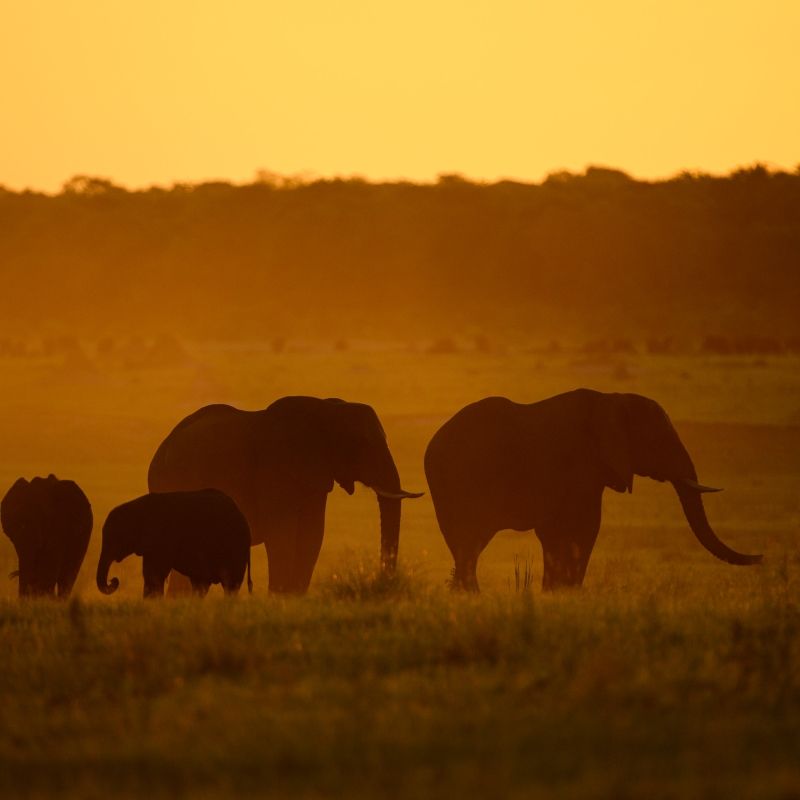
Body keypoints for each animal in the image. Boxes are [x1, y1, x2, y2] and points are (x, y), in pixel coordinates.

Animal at [96, 489, 253, 598]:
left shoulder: (162, 537)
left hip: (235, 548)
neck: (137, 507)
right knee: (201, 585)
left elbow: (155, 573)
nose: (114, 580)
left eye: (115, 537)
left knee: (230, 586)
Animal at [148, 396, 422, 594]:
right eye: (362, 444)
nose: (385, 584)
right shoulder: (275, 471)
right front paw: (278, 598)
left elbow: (312, 534)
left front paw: (293, 597)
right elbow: (282, 534)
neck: (326, 409)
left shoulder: (315, 480)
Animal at [424, 389, 762, 592]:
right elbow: (581, 529)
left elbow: (562, 533)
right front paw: (565, 593)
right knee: (469, 543)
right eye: (658, 441)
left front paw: (556, 593)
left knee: (465, 546)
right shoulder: (579, 468)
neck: (613, 400)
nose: (761, 557)